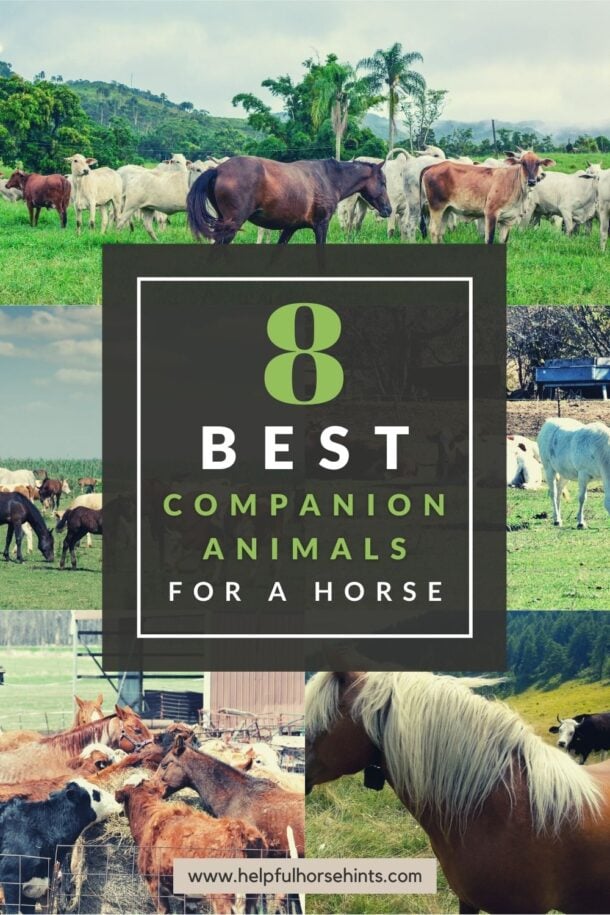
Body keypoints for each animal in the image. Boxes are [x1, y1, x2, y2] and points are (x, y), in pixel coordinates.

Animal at [186, 155, 392, 245]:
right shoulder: (321, 225)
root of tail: (217, 170)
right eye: (383, 182)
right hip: (230, 228)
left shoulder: (290, 228)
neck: (328, 178)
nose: (388, 209)